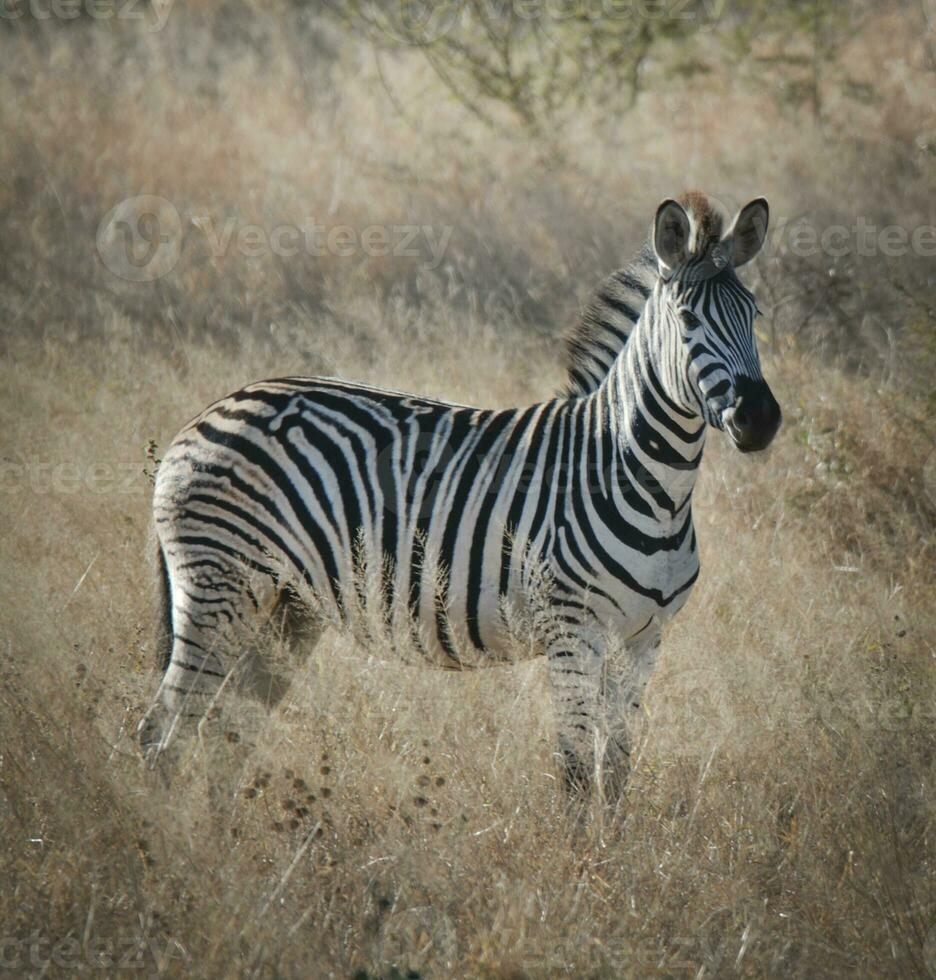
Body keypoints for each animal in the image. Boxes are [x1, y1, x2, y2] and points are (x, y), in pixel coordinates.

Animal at [141, 191, 784, 796]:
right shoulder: (573, 634)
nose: (760, 419)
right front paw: (574, 847)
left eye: (754, 314)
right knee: (164, 734)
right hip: (219, 586)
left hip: (286, 605)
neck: (646, 484)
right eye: (687, 319)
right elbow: (577, 775)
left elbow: (617, 774)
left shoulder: (644, 640)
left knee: (227, 730)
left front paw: (615, 844)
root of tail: (207, 413)